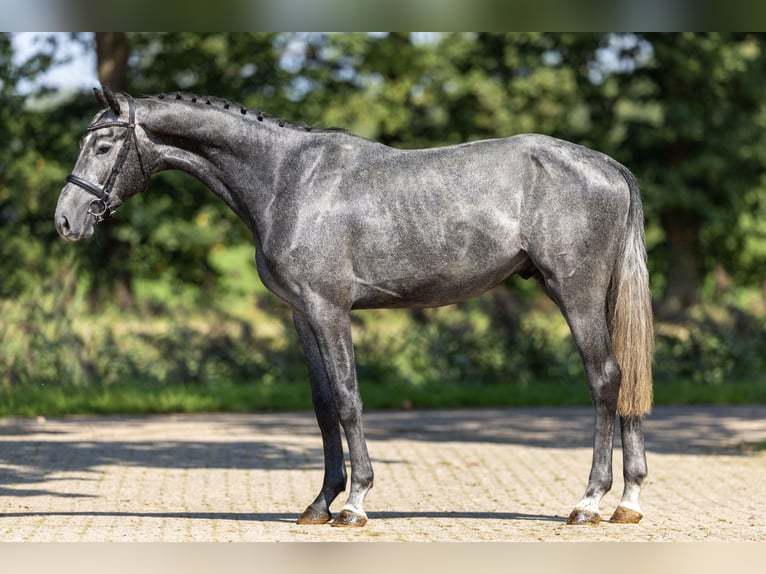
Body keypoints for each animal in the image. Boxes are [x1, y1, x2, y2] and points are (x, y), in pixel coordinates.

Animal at [55, 86, 656, 532]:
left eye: (104, 146)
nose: (66, 219)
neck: (287, 180)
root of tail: (605, 165)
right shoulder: (302, 314)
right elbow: (323, 407)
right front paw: (319, 504)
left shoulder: (329, 309)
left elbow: (348, 400)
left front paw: (355, 503)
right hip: (600, 296)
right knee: (626, 378)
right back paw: (628, 502)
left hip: (575, 293)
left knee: (605, 379)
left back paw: (589, 502)